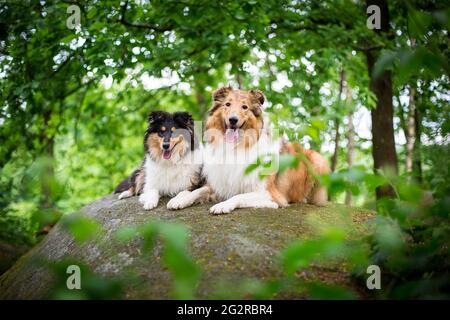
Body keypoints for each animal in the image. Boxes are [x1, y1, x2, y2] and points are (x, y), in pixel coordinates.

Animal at [167, 86, 328, 214]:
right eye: (227, 104)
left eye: (245, 107)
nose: (233, 120)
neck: (237, 147)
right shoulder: (219, 183)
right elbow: (197, 190)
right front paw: (179, 199)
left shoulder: (269, 194)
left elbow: (238, 196)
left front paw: (222, 205)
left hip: (318, 160)